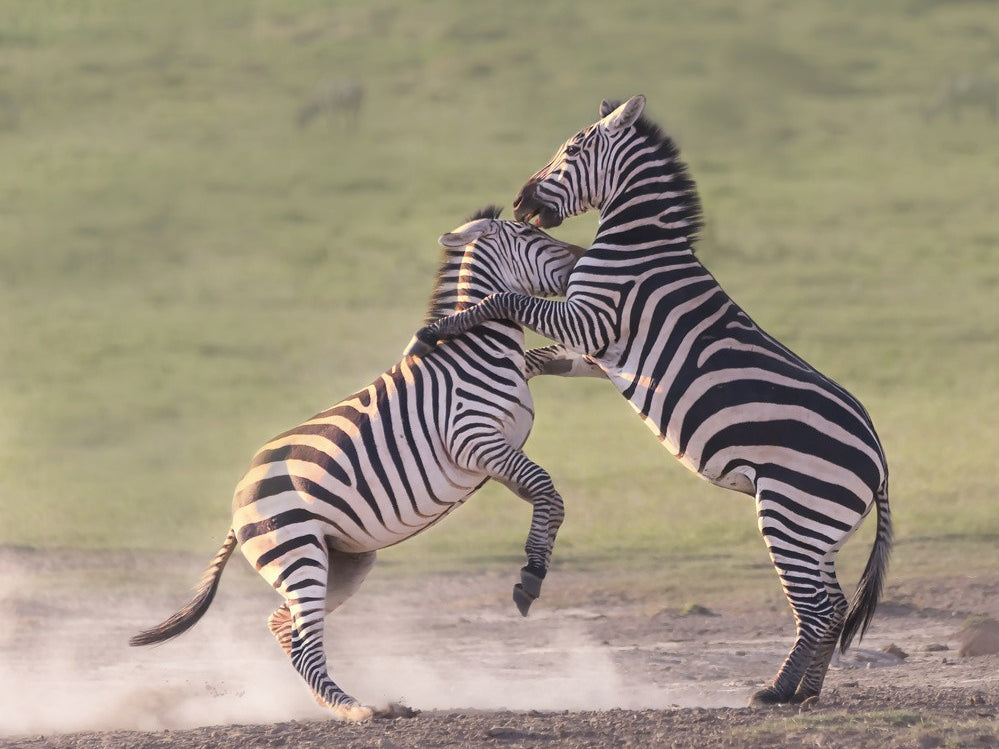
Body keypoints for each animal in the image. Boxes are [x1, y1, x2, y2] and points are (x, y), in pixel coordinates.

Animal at [130, 208, 593, 722]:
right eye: (532, 234)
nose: (585, 257)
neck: (479, 349)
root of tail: (238, 504)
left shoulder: (496, 449)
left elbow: (546, 482)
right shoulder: (473, 440)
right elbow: (547, 489)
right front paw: (531, 575)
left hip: (343, 561)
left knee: (284, 625)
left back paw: (339, 704)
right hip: (297, 553)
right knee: (304, 643)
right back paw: (357, 710)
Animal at [407, 95, 892, 707]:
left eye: (570, 150)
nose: (519, 200)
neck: (635, 247)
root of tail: (879, 460)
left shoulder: (590, 319)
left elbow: (507, 299)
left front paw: (439, 330)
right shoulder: (595, 346)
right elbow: (542, 356)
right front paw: (499, 360)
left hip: (793, 512)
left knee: (819, 609)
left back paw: (776, 692)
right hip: (820, 529)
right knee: (833, 606)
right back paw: (806, 692)